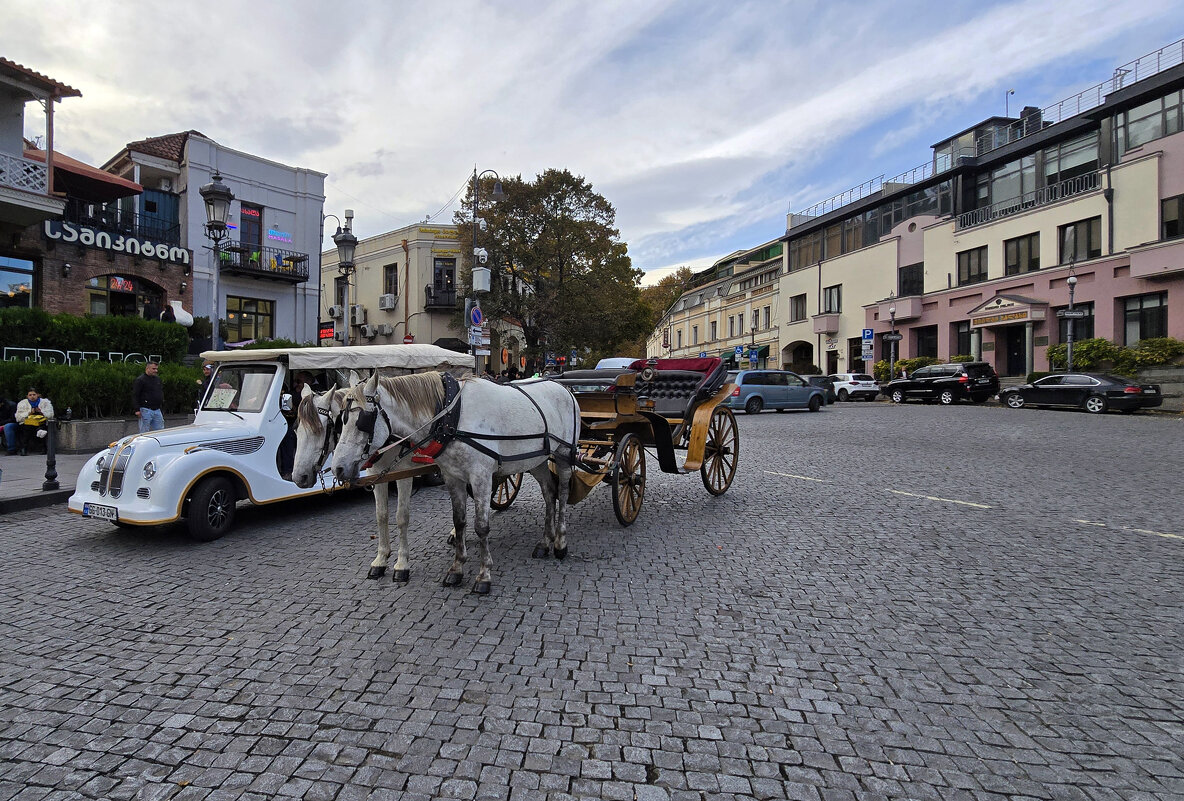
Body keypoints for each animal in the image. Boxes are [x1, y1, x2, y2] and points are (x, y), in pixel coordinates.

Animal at [331, 371, 580, 591]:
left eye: (362, 421)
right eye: (341, 420)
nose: (337, 468)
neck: (451, 417)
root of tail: (564, 388)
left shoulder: (481, 477)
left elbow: (481, 527)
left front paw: (484, 575)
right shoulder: (453, 478)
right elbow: (459, 521)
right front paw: (457, 568)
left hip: (563, 454)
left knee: (562, 492)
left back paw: (560, 542)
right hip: (535, 460)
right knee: (549, 492)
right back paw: (545, 542)